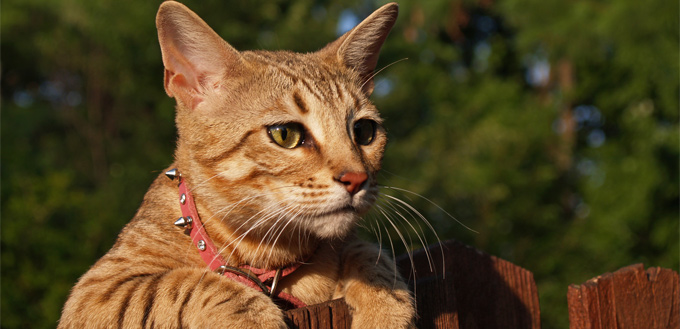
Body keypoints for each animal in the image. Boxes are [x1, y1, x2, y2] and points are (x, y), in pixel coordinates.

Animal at [57, 1, 414, 326]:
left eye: (364, 131)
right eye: (285, 134)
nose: (356, 178)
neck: (272, 259)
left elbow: (370, 253)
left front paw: (386, 303)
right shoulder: (96, 291)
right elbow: (187, 283)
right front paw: (251, 315)